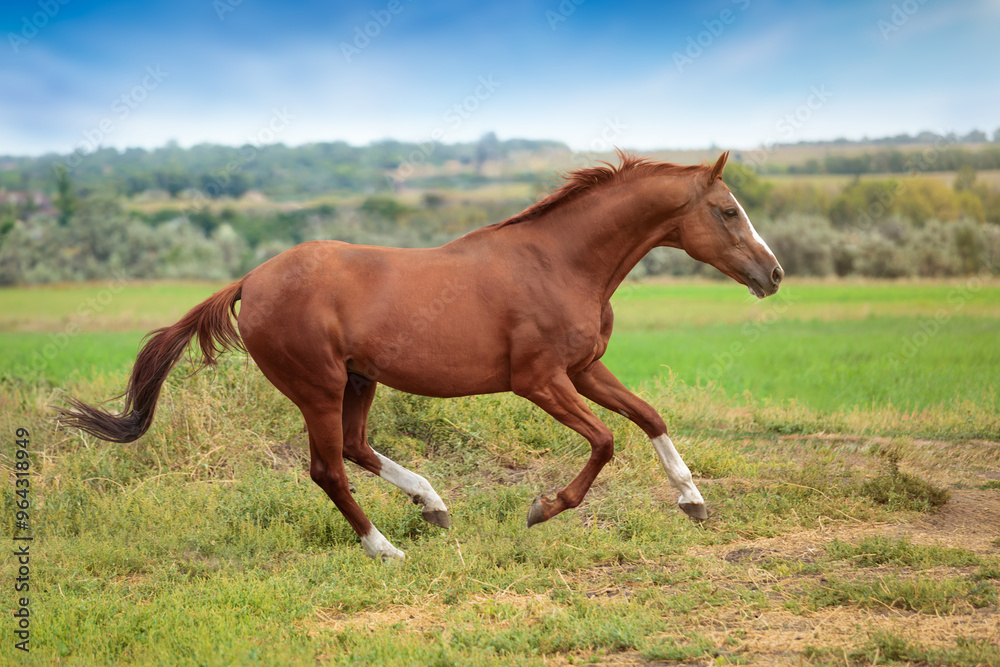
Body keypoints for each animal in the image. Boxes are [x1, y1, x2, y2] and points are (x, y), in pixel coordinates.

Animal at [58, 150, 783, 561]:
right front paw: (542, 507)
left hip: (359, 381)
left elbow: (649, 416)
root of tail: (250, 281)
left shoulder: (583, 368)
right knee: (328, 467)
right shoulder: (540, 380)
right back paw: (386, 548)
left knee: (356, 449)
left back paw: (432, 505)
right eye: (727, 211)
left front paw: (693, 501)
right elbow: (605, 440)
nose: (773, 274)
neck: (561, 263)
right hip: (318, 386)